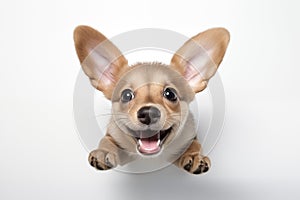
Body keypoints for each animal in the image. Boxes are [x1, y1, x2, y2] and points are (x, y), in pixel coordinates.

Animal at [73, 25, 230, 174]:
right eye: (126, 95)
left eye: (170, 94)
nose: (148, 112)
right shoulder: (114, 138)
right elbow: (106, 141)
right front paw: (104, 152)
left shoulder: (189, 138)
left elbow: (195, 145)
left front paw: (194, 156)